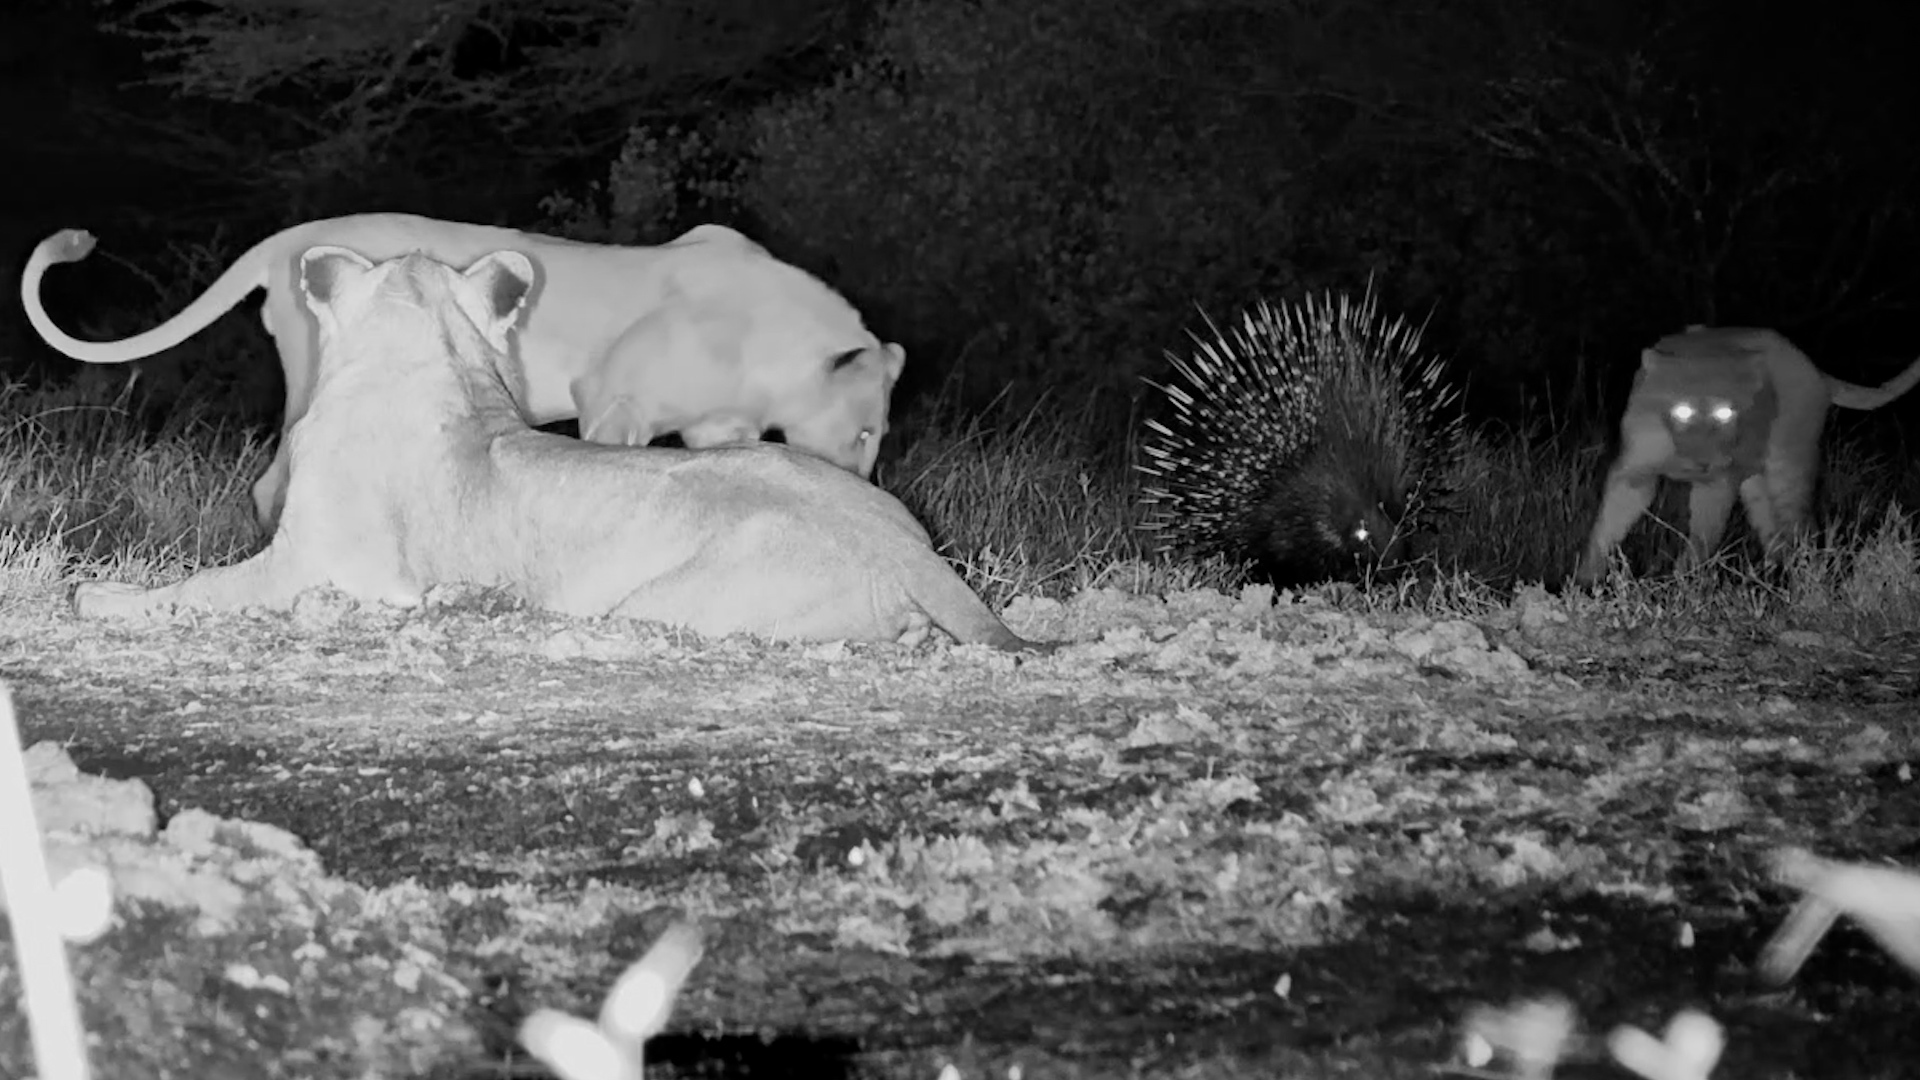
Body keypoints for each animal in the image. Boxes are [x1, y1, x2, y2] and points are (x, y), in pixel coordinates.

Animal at [20, 215, 905, 531]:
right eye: (865, 431)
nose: (867, 486)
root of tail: (284, 243)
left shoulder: (715, 425)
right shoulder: (610, 400)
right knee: (275, 483)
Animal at [70, 244, 1051, 653]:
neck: (430, 351)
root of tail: (905, 544)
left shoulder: (308, 565)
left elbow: (193, 590)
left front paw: (100, 597)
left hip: (657, 604)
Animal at [1573, 326, 1920, 586]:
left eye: (1726, 413)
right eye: (1682, 411)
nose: (1704, 462)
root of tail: (1812, 367)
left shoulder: (1716, 483)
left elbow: (1702, 538)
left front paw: (1680, 584)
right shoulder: (1635, 474)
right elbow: (1605, 528)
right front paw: (1584, 582)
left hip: (1787, 469)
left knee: (1802, 528)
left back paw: (1803, 584)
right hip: (1755, 485)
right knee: (1775, 536)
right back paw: (1771, 582)